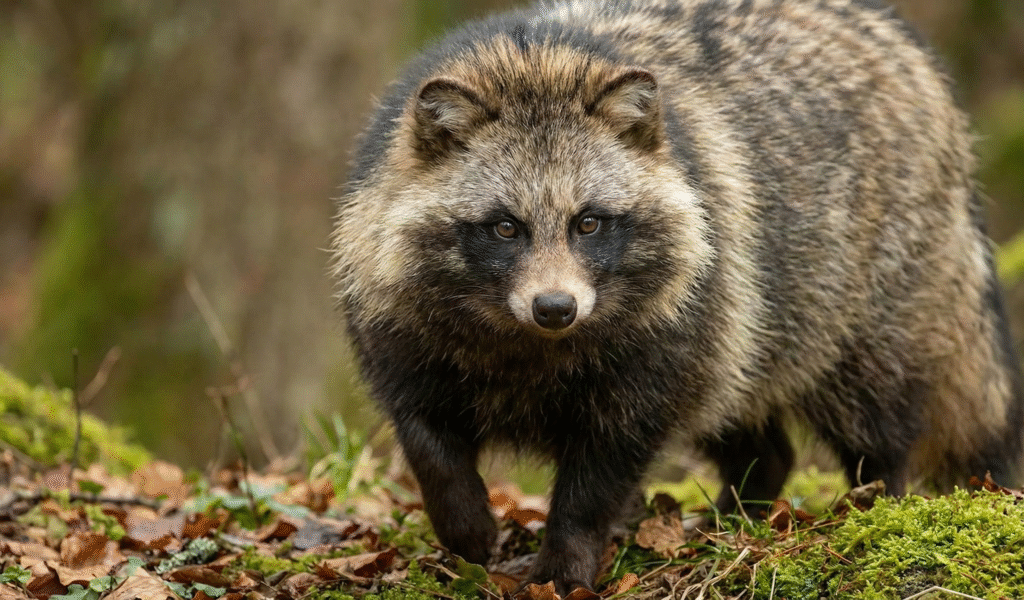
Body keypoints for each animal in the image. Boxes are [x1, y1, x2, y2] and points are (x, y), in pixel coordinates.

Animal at [331, 0, 1024, 593]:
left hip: (851, 307)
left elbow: (602, 471)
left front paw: (565, 563)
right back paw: (737, 514)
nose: (555, 309)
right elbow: (425, 434)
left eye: (588, 223)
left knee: (874, 416)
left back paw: (874, 502)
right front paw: (464, 523)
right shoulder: (397, 324)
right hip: (740, 339)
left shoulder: (659, 349)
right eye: (506, 227)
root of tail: (903, 43)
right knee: (758, 436)